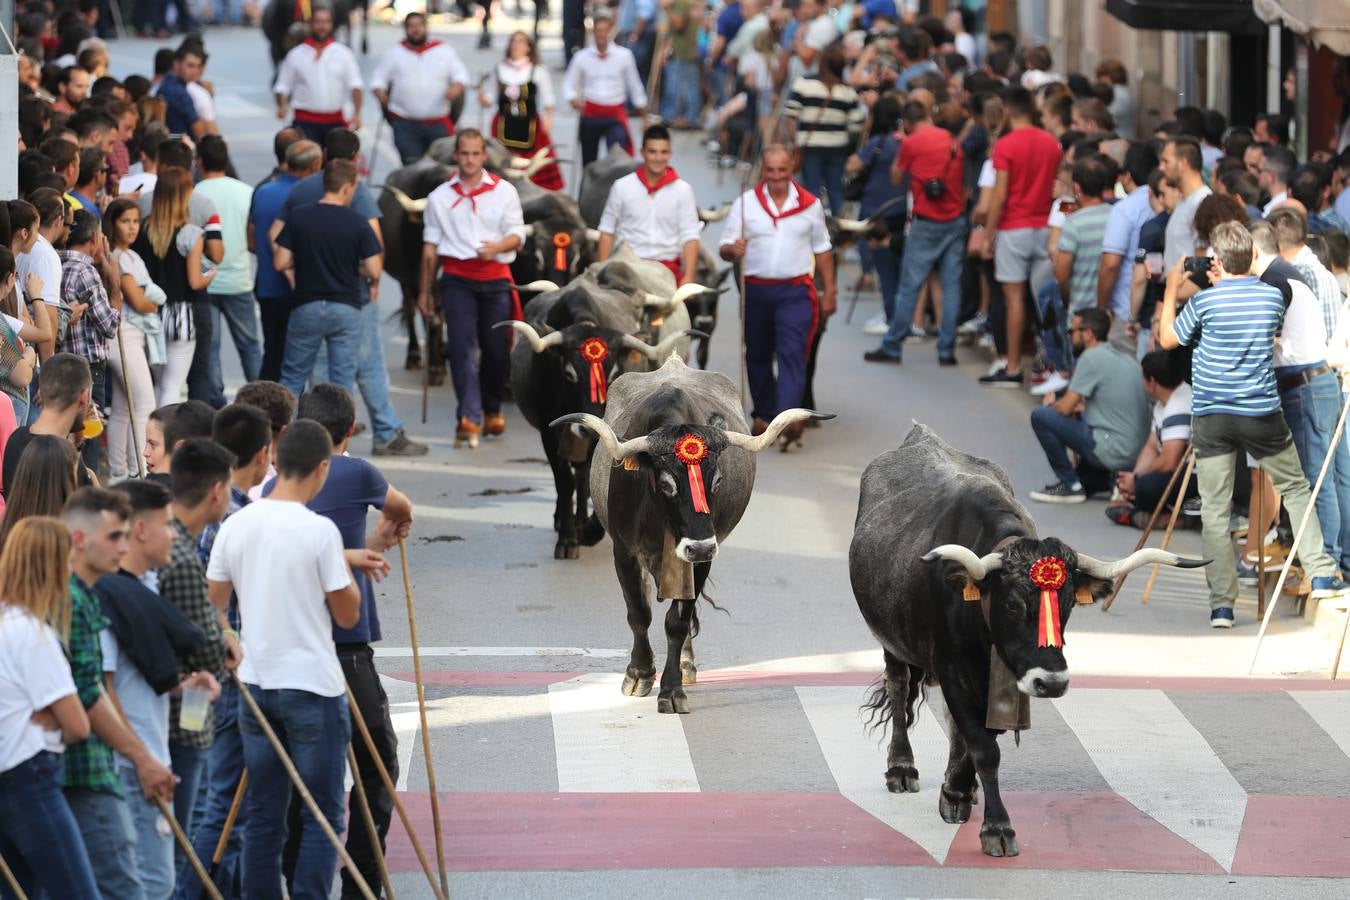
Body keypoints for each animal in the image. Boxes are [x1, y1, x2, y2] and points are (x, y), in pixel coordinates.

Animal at [847, 429, 1209, 858]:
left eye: (1068, 604)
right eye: (1013, 604)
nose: (1051, 682)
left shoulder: (1001, 677)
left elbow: (978, 738)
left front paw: (959, 791)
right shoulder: (952, 668)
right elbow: (984, 748)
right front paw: (995, 826)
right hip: (891, 643)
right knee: (899, 689)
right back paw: (901, 769)